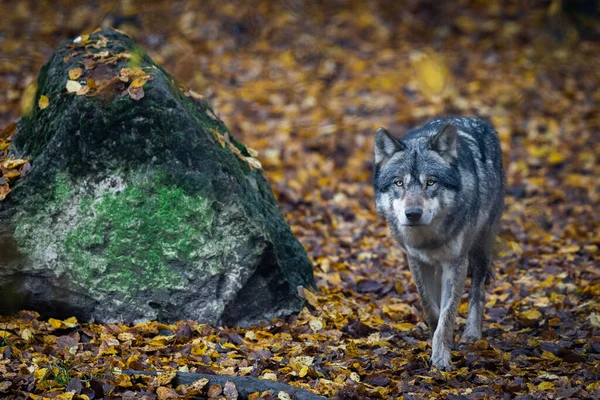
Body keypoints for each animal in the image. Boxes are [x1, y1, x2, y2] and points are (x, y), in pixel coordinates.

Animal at [372, 116, 504, 368]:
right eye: (399, 183)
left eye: (431, 182)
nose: (413, 214)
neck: (429, 238)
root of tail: (478, 120)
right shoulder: (416, 260)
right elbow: (431, 308)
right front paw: (434, 340)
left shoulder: (455, 264)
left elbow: (447, 314)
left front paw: (442, 357)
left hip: (480, 249)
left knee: (478, 292)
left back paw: (472, 333)